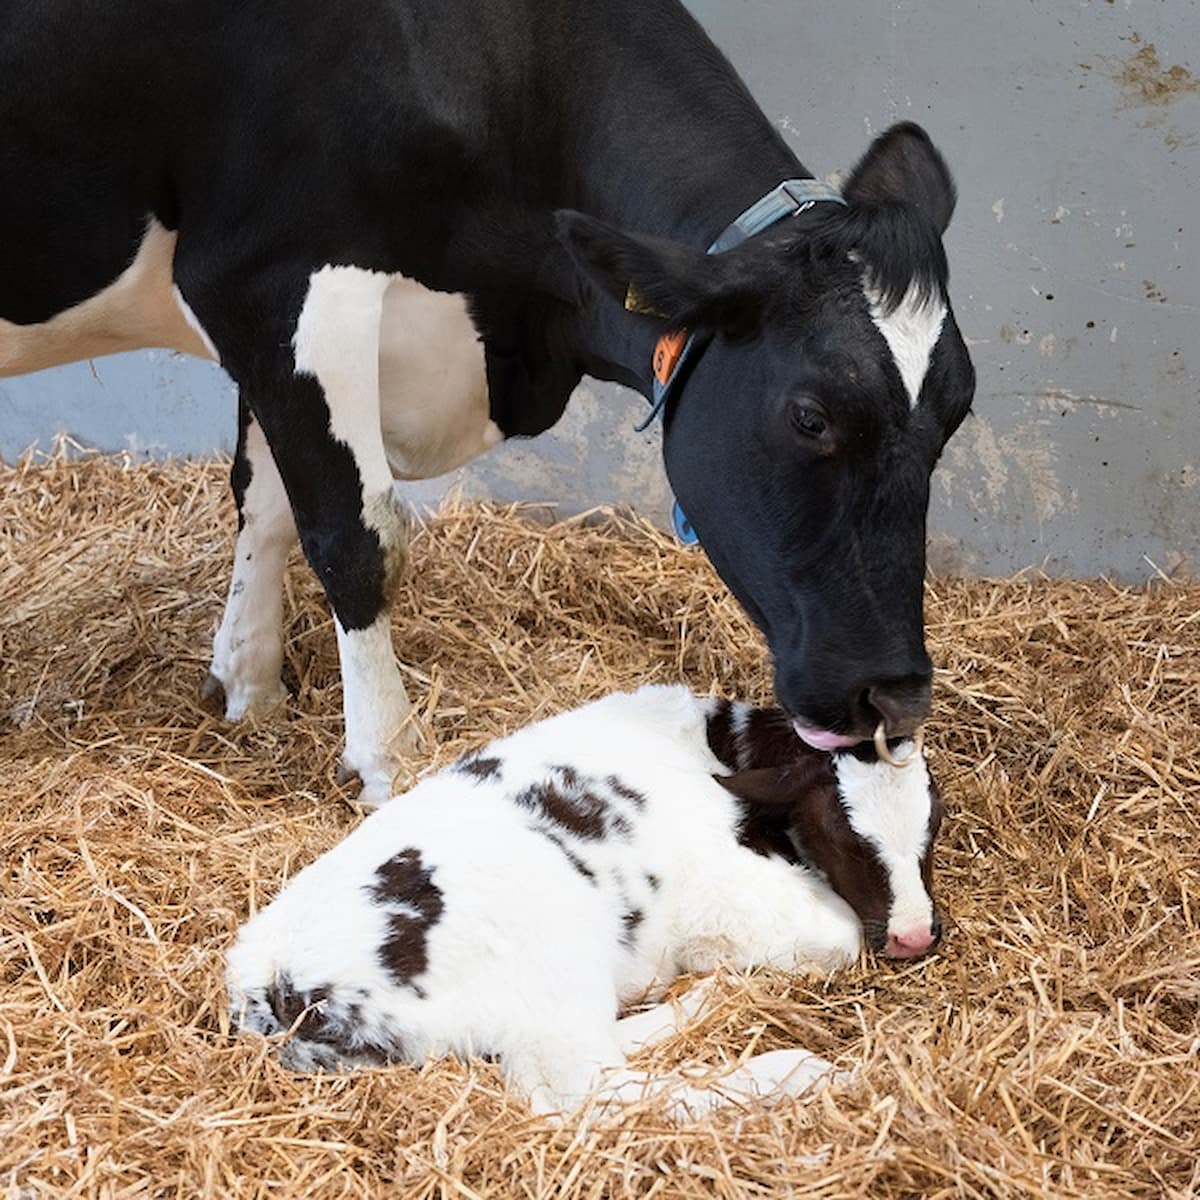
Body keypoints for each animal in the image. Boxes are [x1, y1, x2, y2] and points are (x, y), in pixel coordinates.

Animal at [0, 4, 974, 806]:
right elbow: (357, 537)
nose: (896, 698)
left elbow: (265, 503)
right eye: (812, 417)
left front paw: (249, 688)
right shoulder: (275, 277)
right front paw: (390, 762)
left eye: (957, 413)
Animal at [223, 691, 936, 1118]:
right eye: (842, 833)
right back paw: (795, 1070)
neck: (708, 746)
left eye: (935, 822)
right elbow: (840, 936)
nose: (916, 935)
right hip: (547, 973)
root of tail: (276, 985)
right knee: (590, 1091)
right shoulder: (724, 888)